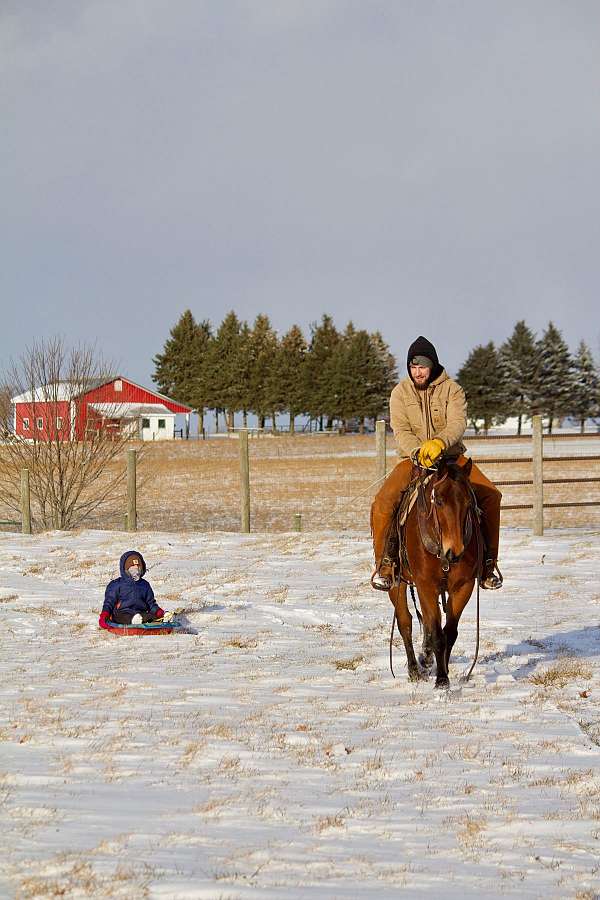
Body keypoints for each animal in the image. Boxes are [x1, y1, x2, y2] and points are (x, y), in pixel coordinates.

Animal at [390, 458, 482, 688]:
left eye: (468, 503)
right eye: (439, 501)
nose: (455, 551)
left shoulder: (463, 587)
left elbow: (449, 632)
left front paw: (444, 670)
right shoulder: (426, 586)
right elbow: (437, 633)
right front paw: (441, 680)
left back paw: (426, 657)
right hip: (398, 583)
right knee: (405, 622)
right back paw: (414, 669)